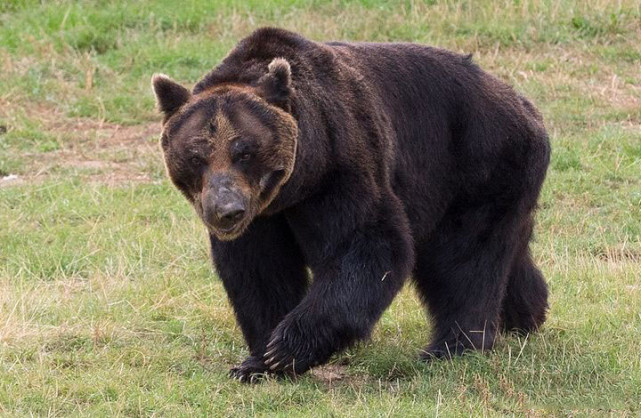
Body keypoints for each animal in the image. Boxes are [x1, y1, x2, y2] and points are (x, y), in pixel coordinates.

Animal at [151, 27, 552, 384]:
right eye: (196, 155)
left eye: (244, 151)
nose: (226, 210)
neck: (294, 188)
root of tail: (524, 104)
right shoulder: (264, 217)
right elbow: (259, 271)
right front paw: (257, 362)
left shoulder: (341, 163)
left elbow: (367, 245)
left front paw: (286, 348)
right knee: (506, 252)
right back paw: (526, 315)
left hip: (479, 164)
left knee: (464, 259)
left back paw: (452, 348)